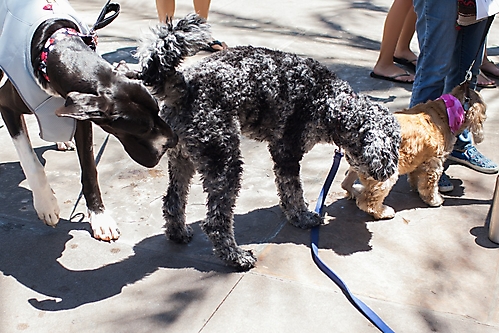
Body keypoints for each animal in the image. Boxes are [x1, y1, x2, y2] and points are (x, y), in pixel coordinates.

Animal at [0, 0, 178, 239]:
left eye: (158, 111)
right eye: (142, 129)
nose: (174, 140)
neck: (52, 47)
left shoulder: (81, 116)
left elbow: (89, 169)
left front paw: (99, 216)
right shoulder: (8, 107)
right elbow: (31, 162)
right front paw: (47, 204)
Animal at [135, 15, 400, 270]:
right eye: (392, 149)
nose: (389, 172)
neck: (330, 100)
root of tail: (183, 86)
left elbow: (286, 190)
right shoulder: (287, 152)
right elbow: (293, 190)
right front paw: (302, 216)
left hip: (183, 158)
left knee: (173, 200)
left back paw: (178, 233)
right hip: (224, 160)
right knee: (215, 221)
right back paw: (236, 257)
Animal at [342, 82, 486, 219]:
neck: (447, 111)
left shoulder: (419, 158)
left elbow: (415, 176)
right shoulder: (434, 163)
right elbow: (430, 186)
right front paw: (434, 200)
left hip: (359, 167)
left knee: (346, 184)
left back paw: (355, 191)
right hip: (385, 173)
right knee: (367, 202)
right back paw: (382, 212)